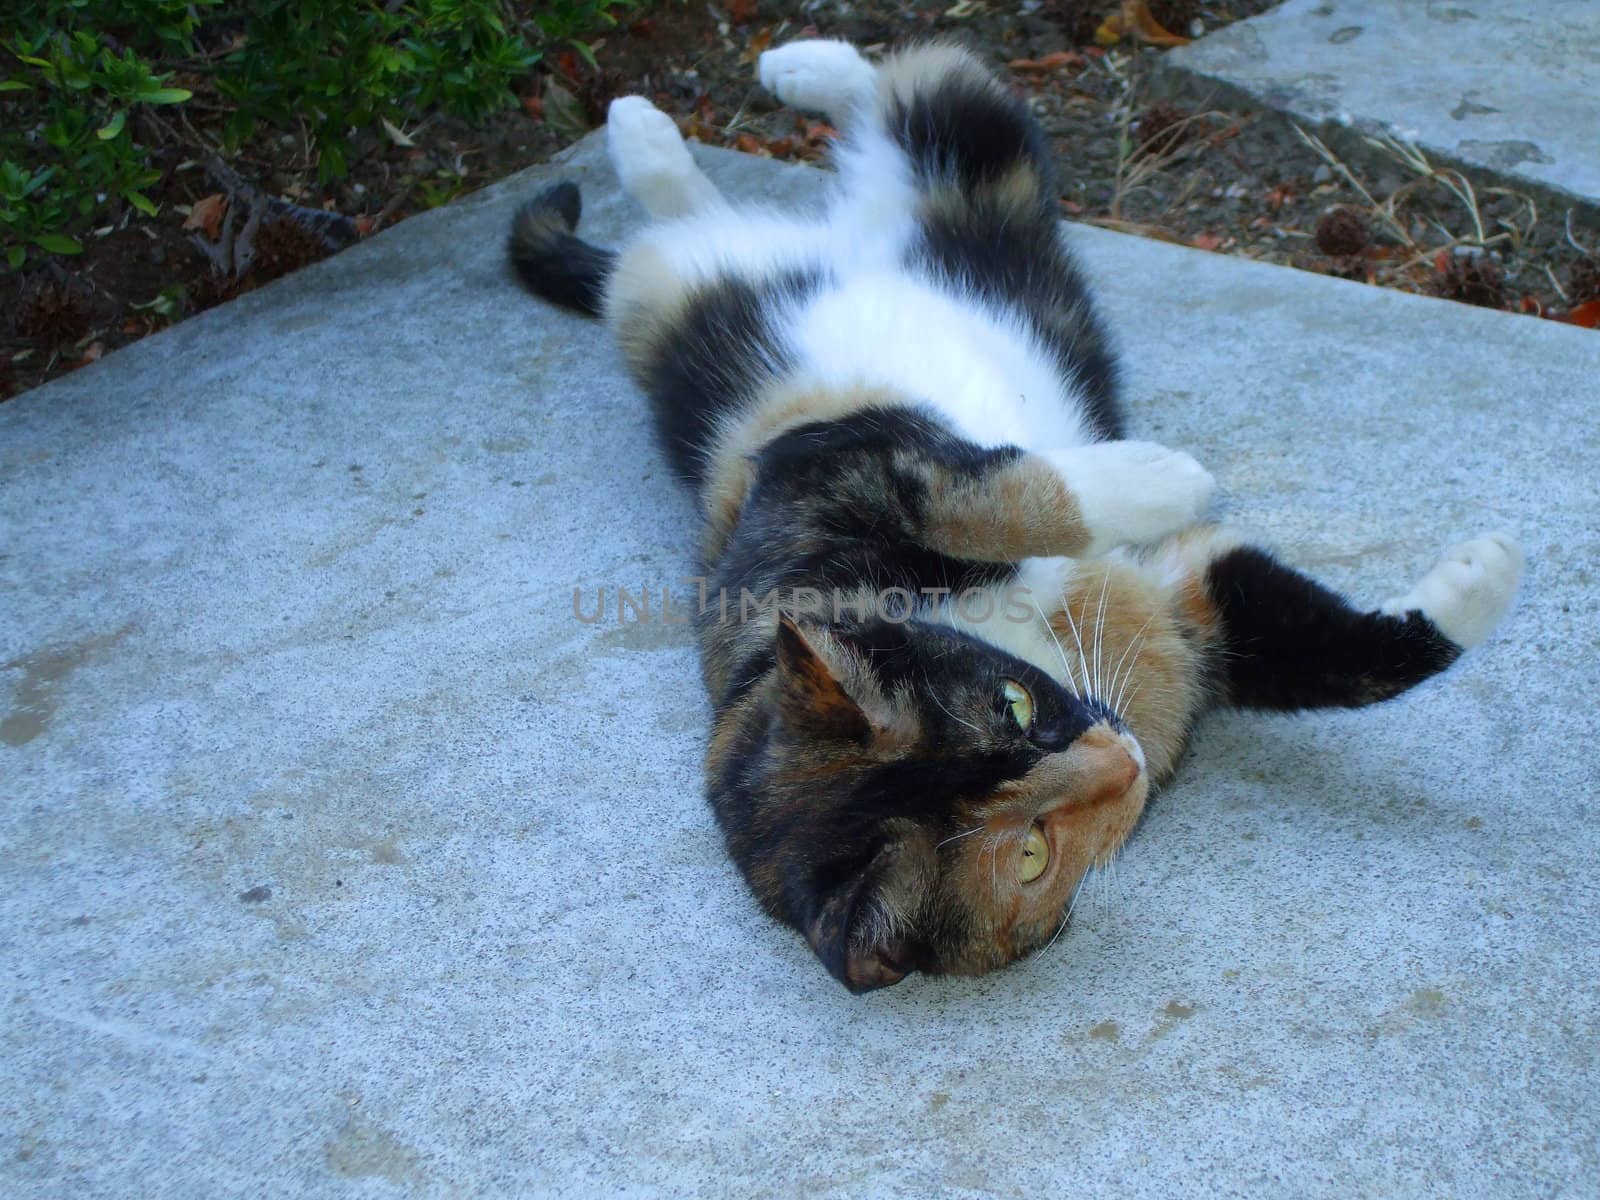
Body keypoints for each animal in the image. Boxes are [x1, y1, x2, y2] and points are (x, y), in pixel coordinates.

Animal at [505, 40, 1516, 998]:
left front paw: (1166, 475)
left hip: (943, 172)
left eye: (1012, 703)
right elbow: (1341, 656)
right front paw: (1483, 575)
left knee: (902, 101)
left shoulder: (829, 462)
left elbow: (983, 498)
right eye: (1031, 852)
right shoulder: (1185, 619)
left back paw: (733, 92)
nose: (1120, 758)